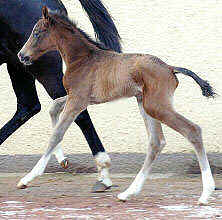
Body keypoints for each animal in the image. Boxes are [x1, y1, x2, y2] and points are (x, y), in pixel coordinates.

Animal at [0, 0, 121, 189]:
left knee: (71, 112)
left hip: (40, 65)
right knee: (29, 106)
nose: (22, 53)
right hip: (19, 63)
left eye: (37, 33)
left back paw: (102, 173)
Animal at [18, 6, 216, 205]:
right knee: (156, 142)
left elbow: (56, 134)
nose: (21, 55)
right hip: (145, 104)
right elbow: (53, 108)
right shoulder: (78, 98)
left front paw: (27, 179)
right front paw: (62, 159)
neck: (82, 59)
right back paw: (129, 192)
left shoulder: (77, 100)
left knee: (192, 130)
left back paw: (206, 193)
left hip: (157, 106)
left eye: (37, 33)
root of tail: (170, 68)